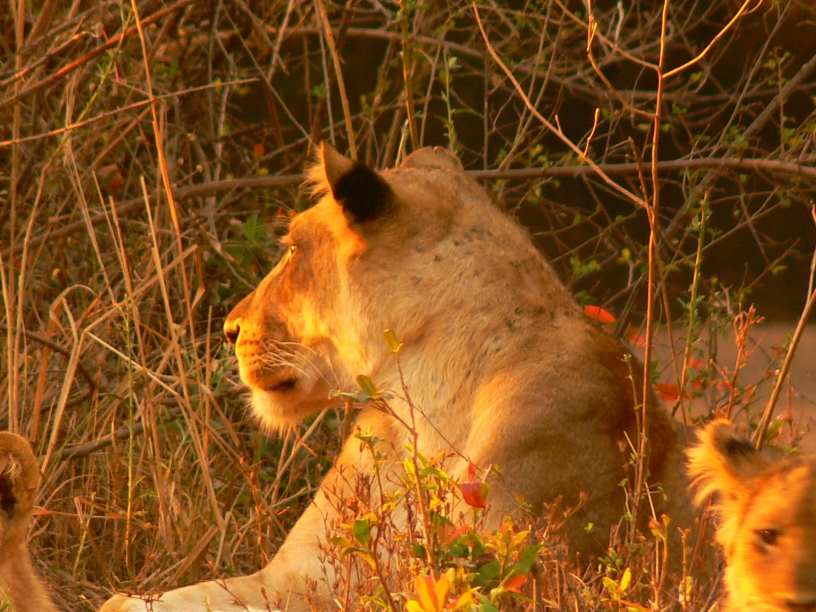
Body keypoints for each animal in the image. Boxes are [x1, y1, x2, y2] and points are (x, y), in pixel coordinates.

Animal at [101, 145, 693, 611]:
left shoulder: (505, 575)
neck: (428, 397)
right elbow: (128, 600)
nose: (229, 329)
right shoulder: (298, 576)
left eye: (292, 248)